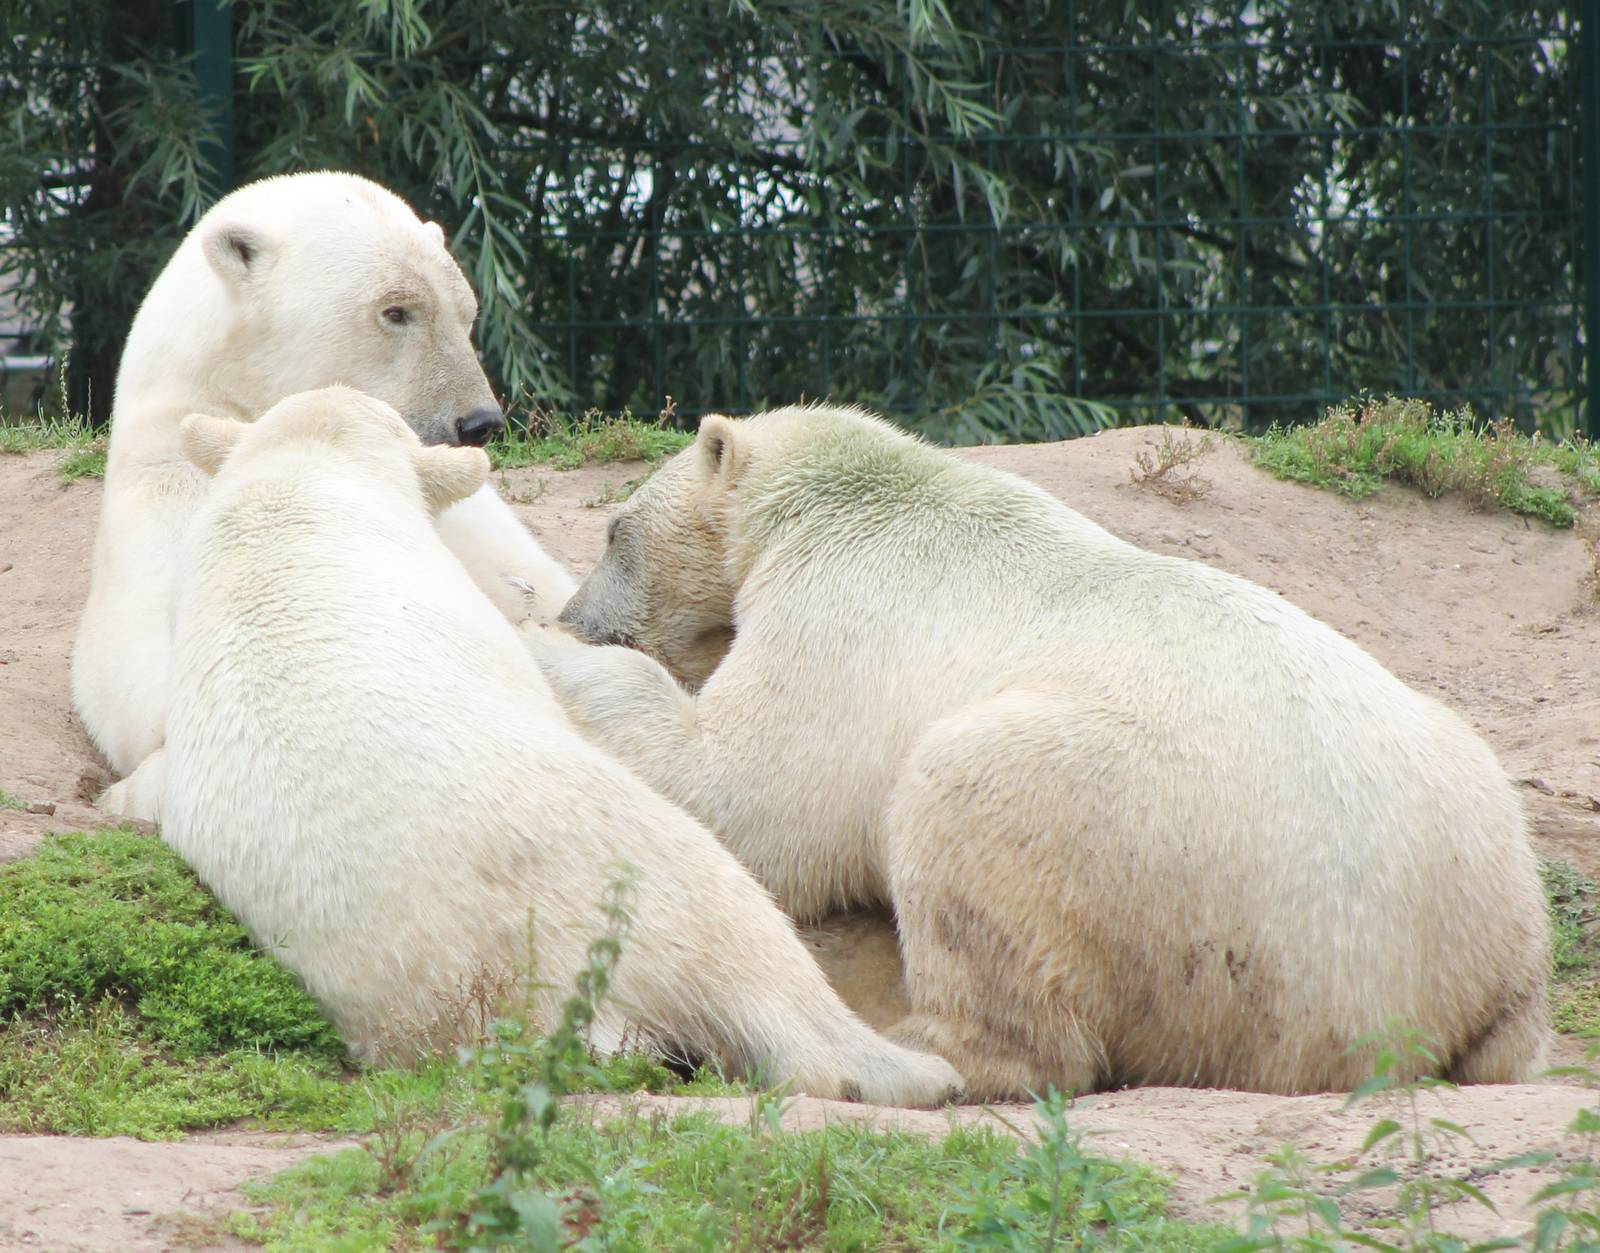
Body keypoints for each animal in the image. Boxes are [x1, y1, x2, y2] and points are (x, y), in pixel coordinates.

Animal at [533, 402, 1553, 1101]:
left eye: (615, 530)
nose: (576, 613)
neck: (842, 493)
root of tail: (1416, 983)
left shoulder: (840, 608)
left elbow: (748, 789)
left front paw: (548, 650)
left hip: (1150, 848)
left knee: (968, 811)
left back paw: (924, 1038)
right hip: (1481, 823)